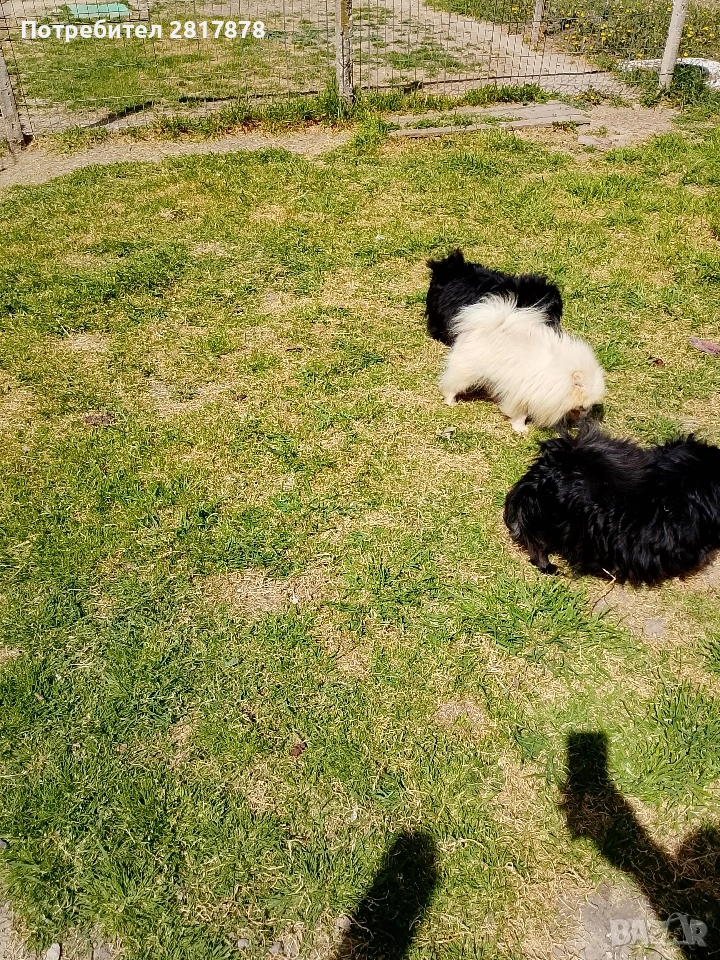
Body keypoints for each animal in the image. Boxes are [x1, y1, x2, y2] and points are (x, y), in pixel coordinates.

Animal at [426, 250, 605, 432]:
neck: (558, 373)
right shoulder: (522, 394)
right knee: (452, 383)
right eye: (583, 404)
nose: (586, 412)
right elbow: (520, 414)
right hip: (466, 369)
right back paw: (450, 401)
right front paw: (520, 428)